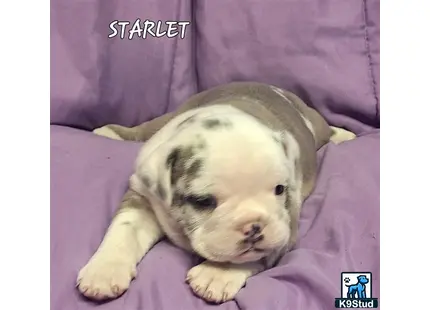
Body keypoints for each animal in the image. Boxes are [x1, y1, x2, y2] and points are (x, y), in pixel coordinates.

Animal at [75, 81, 354, 302]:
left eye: (279, 189)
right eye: (204, 201)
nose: (254, 226)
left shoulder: (286, 226)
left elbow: (256, 254)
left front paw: (216, 273)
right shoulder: (143, 196)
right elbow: (124, 230)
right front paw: (105, 269)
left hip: (312, 123)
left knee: (324, 127)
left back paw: (344, 135)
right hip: (172, 115)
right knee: (147, 127)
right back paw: (109, 132)